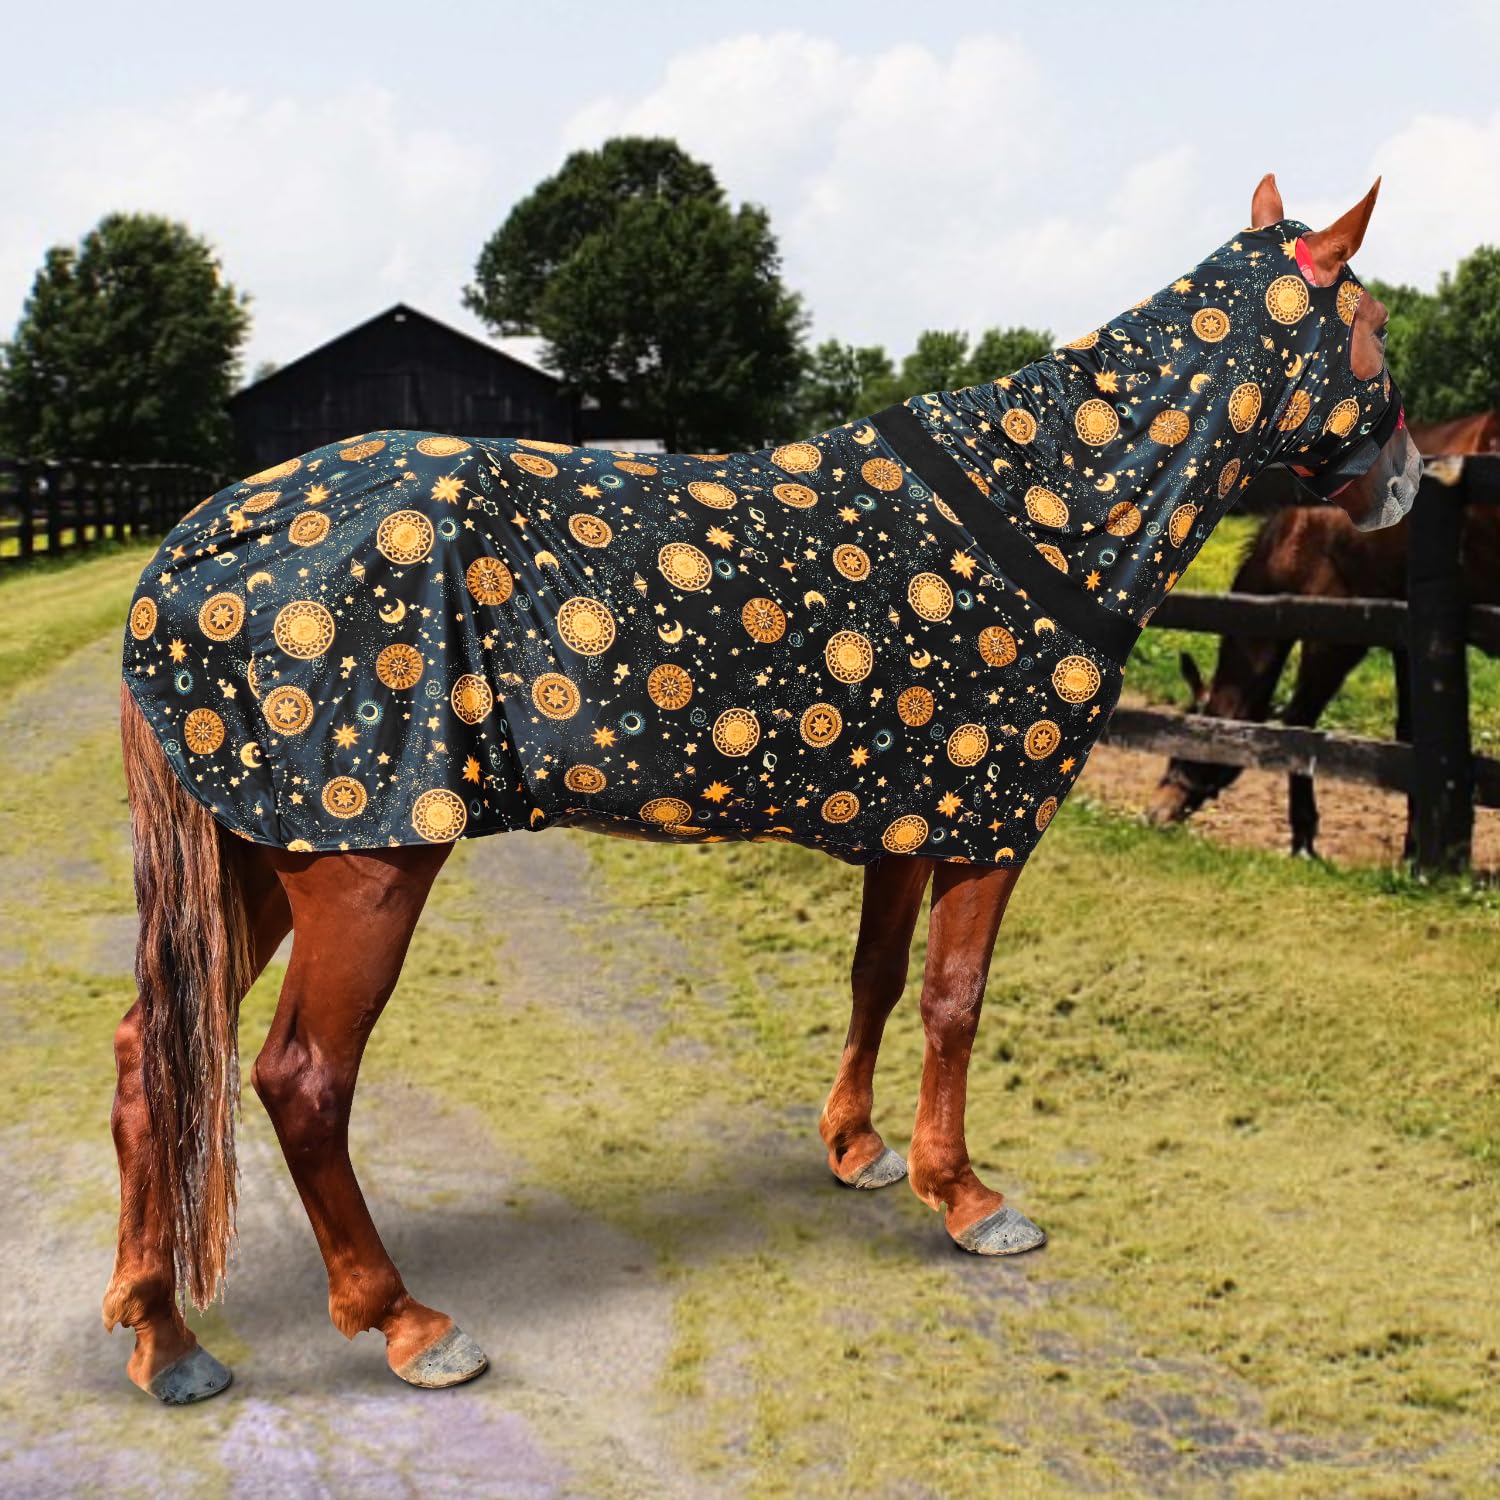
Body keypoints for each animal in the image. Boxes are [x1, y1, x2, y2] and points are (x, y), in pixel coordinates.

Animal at [106, 172, 1420, 1403]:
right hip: (363, 866)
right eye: (1375, 324)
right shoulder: (988, 828)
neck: (1034, 508)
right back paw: (405, 1323)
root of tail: (190, 548)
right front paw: (966, 1196)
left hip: (258, 851)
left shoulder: (907, 821)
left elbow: (877, 978)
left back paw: (164, 1336)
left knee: (146, 1059)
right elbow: (955, 1002)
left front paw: (858, 1147)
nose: (1411, 480)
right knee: (301, 1082)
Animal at [1146, 410, 1500, 853]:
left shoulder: (1335, 635)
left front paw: (1305, 837)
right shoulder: (1403, 642)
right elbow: (1408, 734)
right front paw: (1411, 847)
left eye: (1196, 722)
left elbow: (1300, 720)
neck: (1303, 533)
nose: (1156, 809)